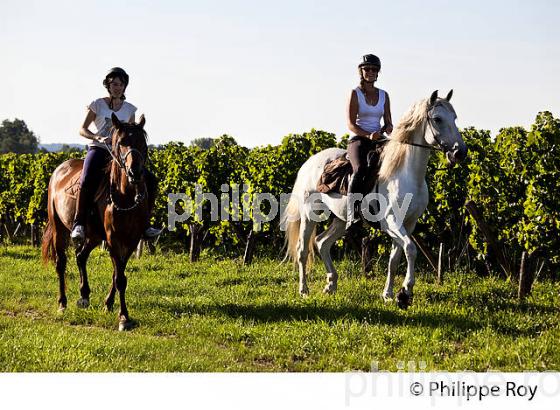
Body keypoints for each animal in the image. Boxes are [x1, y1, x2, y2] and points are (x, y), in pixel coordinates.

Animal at [41, 113, 150, 332]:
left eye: (142, 143)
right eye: (121, 142)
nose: (134, 172)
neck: (125, 195)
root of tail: (60, 168)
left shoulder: (131, 239)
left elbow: (118, 274)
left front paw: (109, 305)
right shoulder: (113, 238)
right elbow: (120, 278)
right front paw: (124, 317)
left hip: (93, 235)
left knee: (80, 256)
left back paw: (84, 296)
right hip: (59, 227)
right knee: (61, 262)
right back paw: (62, 304)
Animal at [282, 89, 466, 308]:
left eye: (455, 117)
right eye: (437, 119)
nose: (460, 152)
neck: (406, 173)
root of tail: (310, 162)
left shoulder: (408, 223)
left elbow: (395, 259)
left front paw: (389, 294)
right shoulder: (391, 222)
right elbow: (411, 249)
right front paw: (405, 292)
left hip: (341, 220)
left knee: (322, 243)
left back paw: (331, 285)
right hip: (310, 215)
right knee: (302, 250)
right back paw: (304, 291)